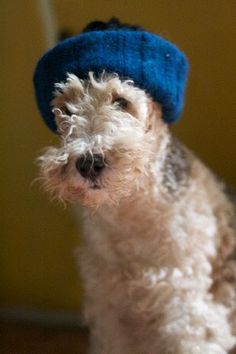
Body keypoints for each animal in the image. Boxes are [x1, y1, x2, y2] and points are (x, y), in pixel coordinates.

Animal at [34, 20, 235, 354]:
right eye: (65, 109)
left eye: (121, 101)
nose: (89, 163)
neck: (130, 212)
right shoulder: (111, 310)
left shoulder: (187, 312)